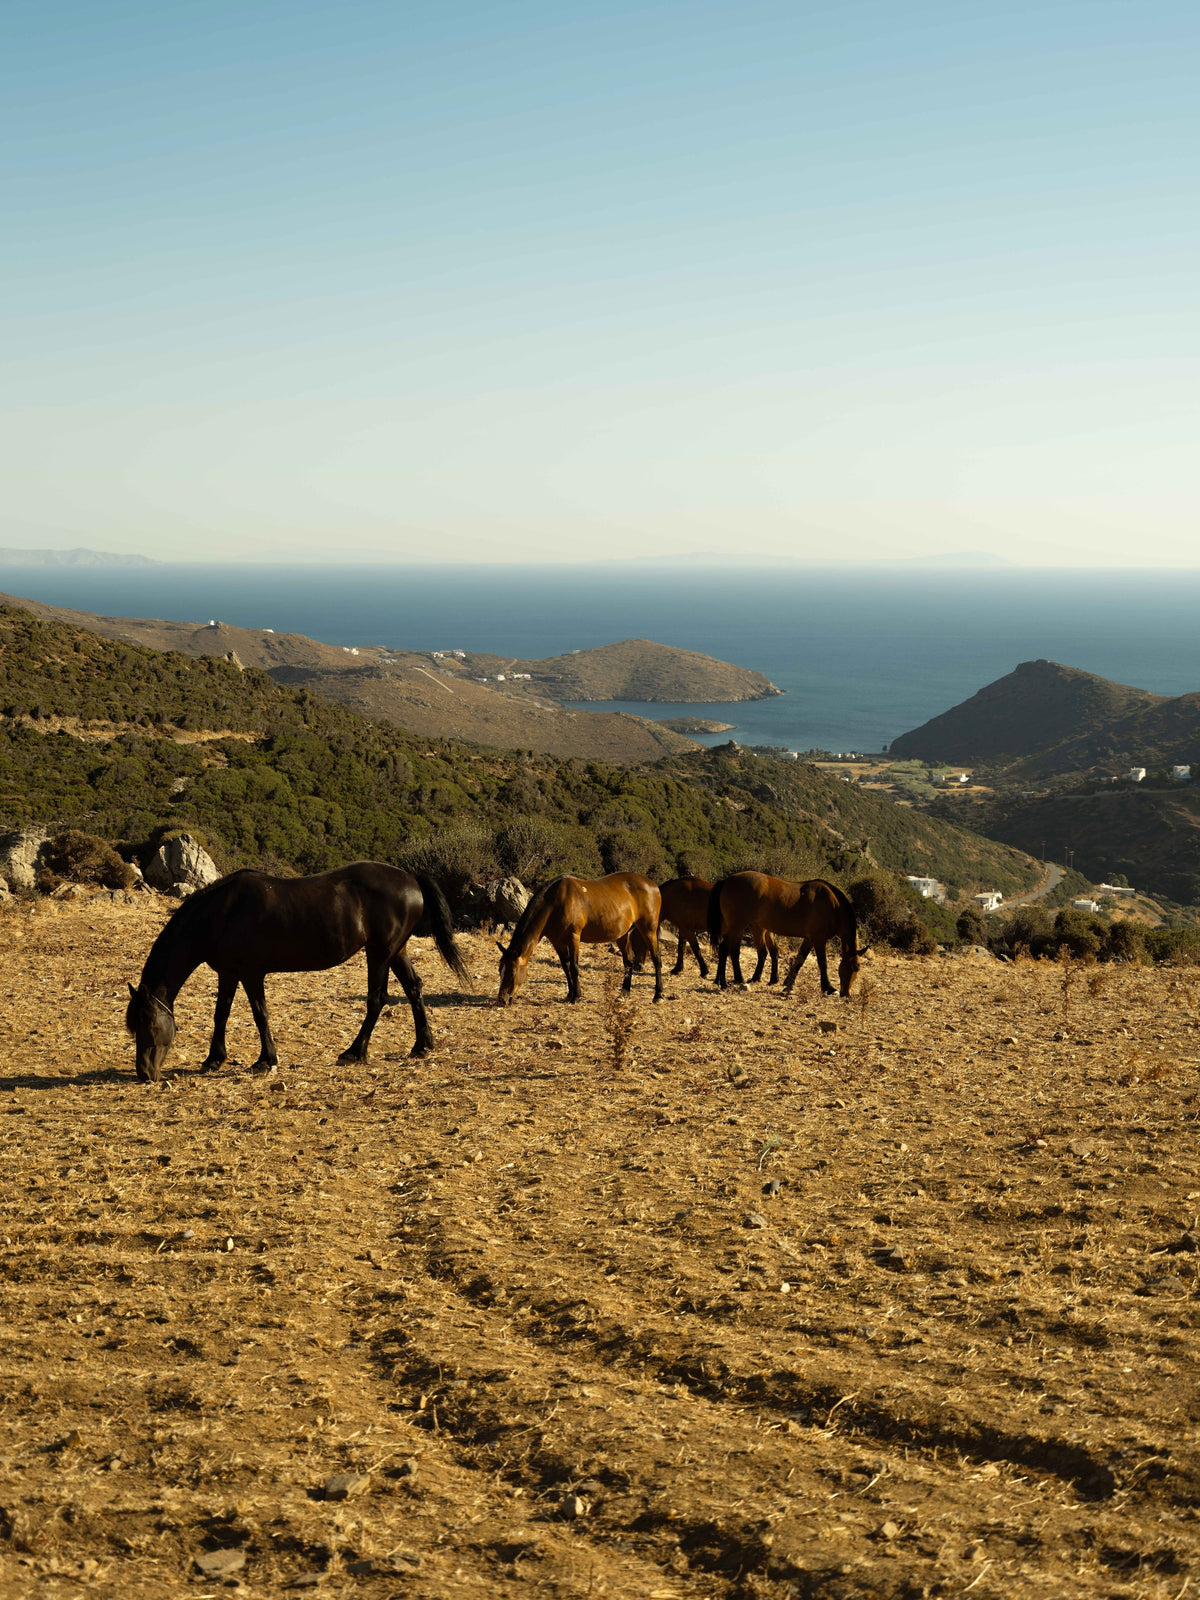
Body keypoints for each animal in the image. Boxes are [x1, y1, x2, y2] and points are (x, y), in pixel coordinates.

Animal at [125, 862, 468, 1082]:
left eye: (148, 1024)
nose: (144, 1073)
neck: (221, 912)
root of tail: (410, 878)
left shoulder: (251, 974)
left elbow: (259, 1013)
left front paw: (265, 1061)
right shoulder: (229, 973)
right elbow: (221, 1013)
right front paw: (213, 1059)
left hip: (380, 953)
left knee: (377, 999)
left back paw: (354, 1052)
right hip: (396, 951)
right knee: (414, 988)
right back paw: (421, 1045)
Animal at [497, 872, 663, 1004]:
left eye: (512, 972)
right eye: (500, 970)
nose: (502, 1000)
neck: (555, 902)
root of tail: (652, 884)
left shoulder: (574, 937)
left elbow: (574, 966)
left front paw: (576, 996)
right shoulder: (557, 942)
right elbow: (565, 966)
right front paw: (570, 993)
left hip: (649, 930)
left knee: (656, 959)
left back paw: (658, 995)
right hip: (623, 935)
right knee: (628, 962)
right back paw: (624, 993)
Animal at [707, 872, 864, 997]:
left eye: (858, 969)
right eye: (853, 968)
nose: (846, 994)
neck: (833, 906)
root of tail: (727, 880)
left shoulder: (809, 939)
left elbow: (800, 960)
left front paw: (788, 983)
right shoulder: (819, 939)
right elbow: (822, 963)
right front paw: (829, 987)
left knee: (733, 951)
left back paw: (733, 980)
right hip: (737, 926)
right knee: (725, 949)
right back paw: (724, 982)